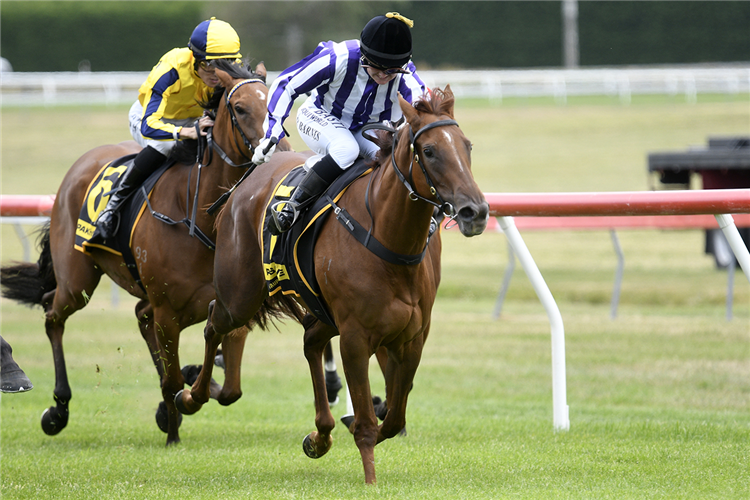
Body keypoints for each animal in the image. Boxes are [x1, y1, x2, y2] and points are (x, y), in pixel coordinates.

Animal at [0, 61, 284, 446]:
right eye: (240, 108)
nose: (281, 150)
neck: (200, 216)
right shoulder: (169, 309)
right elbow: (175, 379)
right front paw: (175, 430)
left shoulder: (230, 306)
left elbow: (229, 388)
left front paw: (192, 386)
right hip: (77, 281)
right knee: (52, 313)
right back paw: (58, 409)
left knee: (139, 316)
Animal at [179, 87, 490, 484]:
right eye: (431, 151)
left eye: (467, 146)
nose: (475, 211)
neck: (389, 239)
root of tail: (245, 181)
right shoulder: (356, 338)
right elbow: (369, 422)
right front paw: (370, 479)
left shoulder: (412, 338)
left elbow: (393, 417)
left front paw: (342, 428)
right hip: (240, 295)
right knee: (214, 321)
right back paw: (191, 395)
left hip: (321, 311)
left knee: (310, 342)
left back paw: (320, 434)